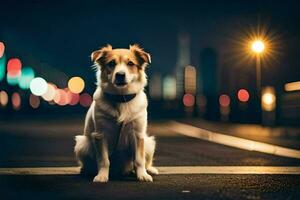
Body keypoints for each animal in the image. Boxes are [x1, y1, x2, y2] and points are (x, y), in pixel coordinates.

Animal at [74, 44, 158, 182]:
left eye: (130, 63)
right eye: (111, 63)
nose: (120, 74)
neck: (121, 98)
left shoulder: (138, 134)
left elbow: (139, 160)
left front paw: (142, 175)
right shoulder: (100, 135)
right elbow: (104, 160)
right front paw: (102, 175)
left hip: (149, 142)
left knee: (145, 161)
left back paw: (149, 169)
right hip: (82, 144)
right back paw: (86, 170)